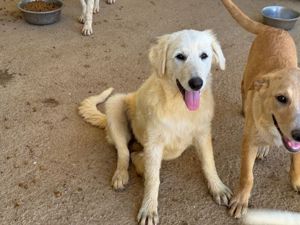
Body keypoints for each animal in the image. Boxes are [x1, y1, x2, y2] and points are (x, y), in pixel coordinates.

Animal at [78, 29, 232, 224]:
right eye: (180, 56)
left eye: (204, 56)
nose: (197, 83)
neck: (179, 106)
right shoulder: (154, 143)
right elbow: (153, 180)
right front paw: (149, 208)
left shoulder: (203, 133)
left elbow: (209, 162)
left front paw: (217, 187)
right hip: (115, 104)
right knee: (125, 153)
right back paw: (122, 174)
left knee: (135, 154)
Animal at [221, 0, 300, 219]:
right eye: (282, 98)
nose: (299, 134)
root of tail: (273, 29)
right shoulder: (248, 143)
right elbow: (247, 176)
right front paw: (241, 200)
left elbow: (296, 162)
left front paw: (297, 181)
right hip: (247, 71)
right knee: (242, 87)